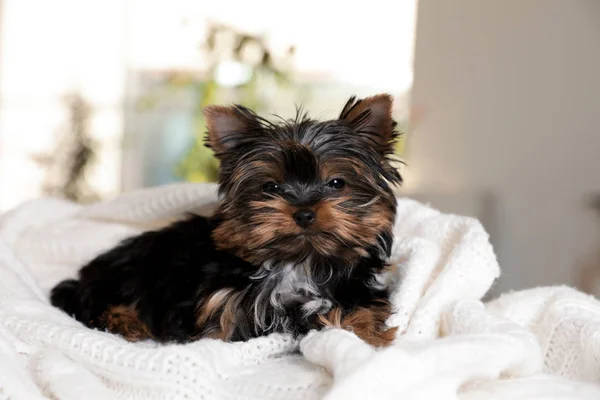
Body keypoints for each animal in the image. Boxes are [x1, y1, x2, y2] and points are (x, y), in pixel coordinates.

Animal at [49, 94, 400, 346]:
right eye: (270, 187)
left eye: (337, 183)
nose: (304, 212)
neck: (298, 262)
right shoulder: (225, 308)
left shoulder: (353, 290)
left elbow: (361, 311)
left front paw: (370, 336)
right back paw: (126, 322)